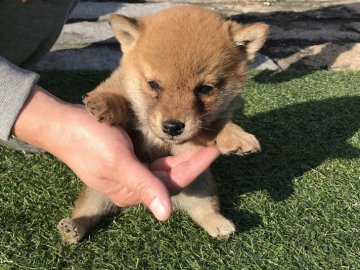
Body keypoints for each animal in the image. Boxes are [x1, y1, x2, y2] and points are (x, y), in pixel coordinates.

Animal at [57, 5, 268, 243]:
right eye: (153, 85)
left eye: (205, 89)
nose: (172, 127)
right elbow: (121, 99)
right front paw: (104, 102)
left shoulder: (192, 140)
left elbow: (216, 124)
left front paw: (237, 136)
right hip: (97, 192)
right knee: (88, 213)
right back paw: (72, 228)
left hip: (203, 185)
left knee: (204, 210)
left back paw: (219, 224)